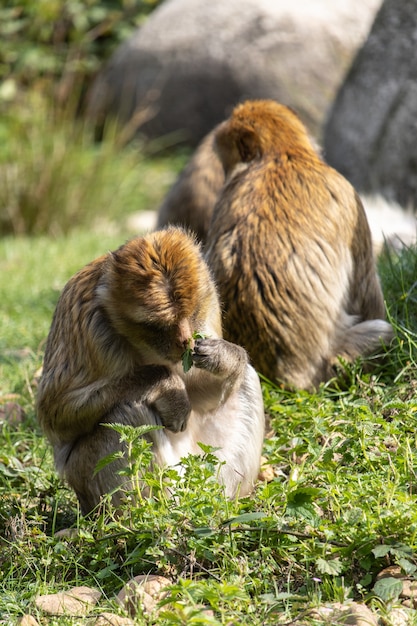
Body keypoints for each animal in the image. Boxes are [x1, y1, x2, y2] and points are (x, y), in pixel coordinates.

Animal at [36, 225, 264, 512]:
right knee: (128, 413)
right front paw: (166, 386)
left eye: (190, 313)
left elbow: (206, 394)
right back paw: (158, 510)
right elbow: (56, 412)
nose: (184, 341)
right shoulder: (88, 325)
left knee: (247, 378)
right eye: (158, 326)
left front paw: (226, 357)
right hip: (88, 482)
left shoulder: (209, 304)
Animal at [205, 99, 394, 388]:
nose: (224, 173)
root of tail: (288, 377)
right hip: (332, 365)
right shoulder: (348, 196)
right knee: (381, 331)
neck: (282, 153)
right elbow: (368, 299)